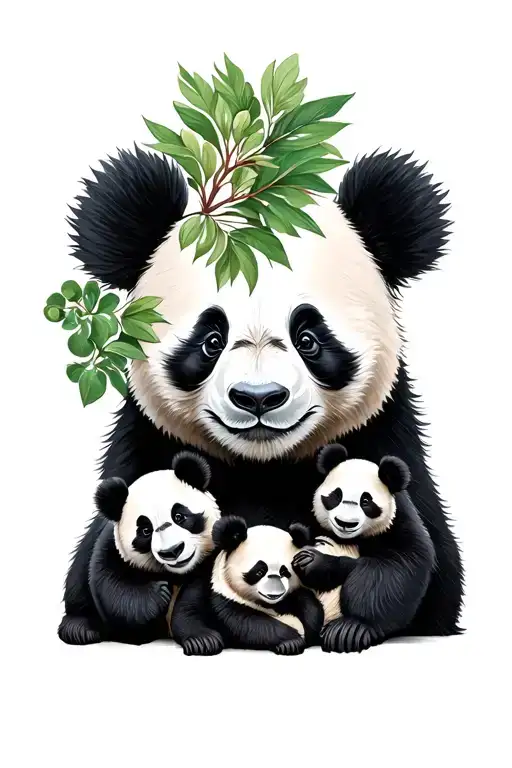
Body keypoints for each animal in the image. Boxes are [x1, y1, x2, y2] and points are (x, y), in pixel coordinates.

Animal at [58, 451, 224, 654]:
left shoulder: (212, 557)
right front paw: (159, 593)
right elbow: (113, 590)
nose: (172, 551)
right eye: (145, 531)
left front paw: (202, 640)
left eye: (179, 517)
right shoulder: (110, 547)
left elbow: (196, 598)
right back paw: (79, 628)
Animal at [210, 517, 324, 654]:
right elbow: (249, 624)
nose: (275, 592)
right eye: (259, 572)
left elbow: (310, 607)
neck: (269, 605)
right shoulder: (227, 599)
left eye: (284, 572)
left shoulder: (295, 594)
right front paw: (291, 641)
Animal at [292, 444, 436, 652]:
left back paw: (344, 632)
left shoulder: (399, 522)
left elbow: (396, 566)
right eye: (337, 495)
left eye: (366, 502)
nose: (345, 523)